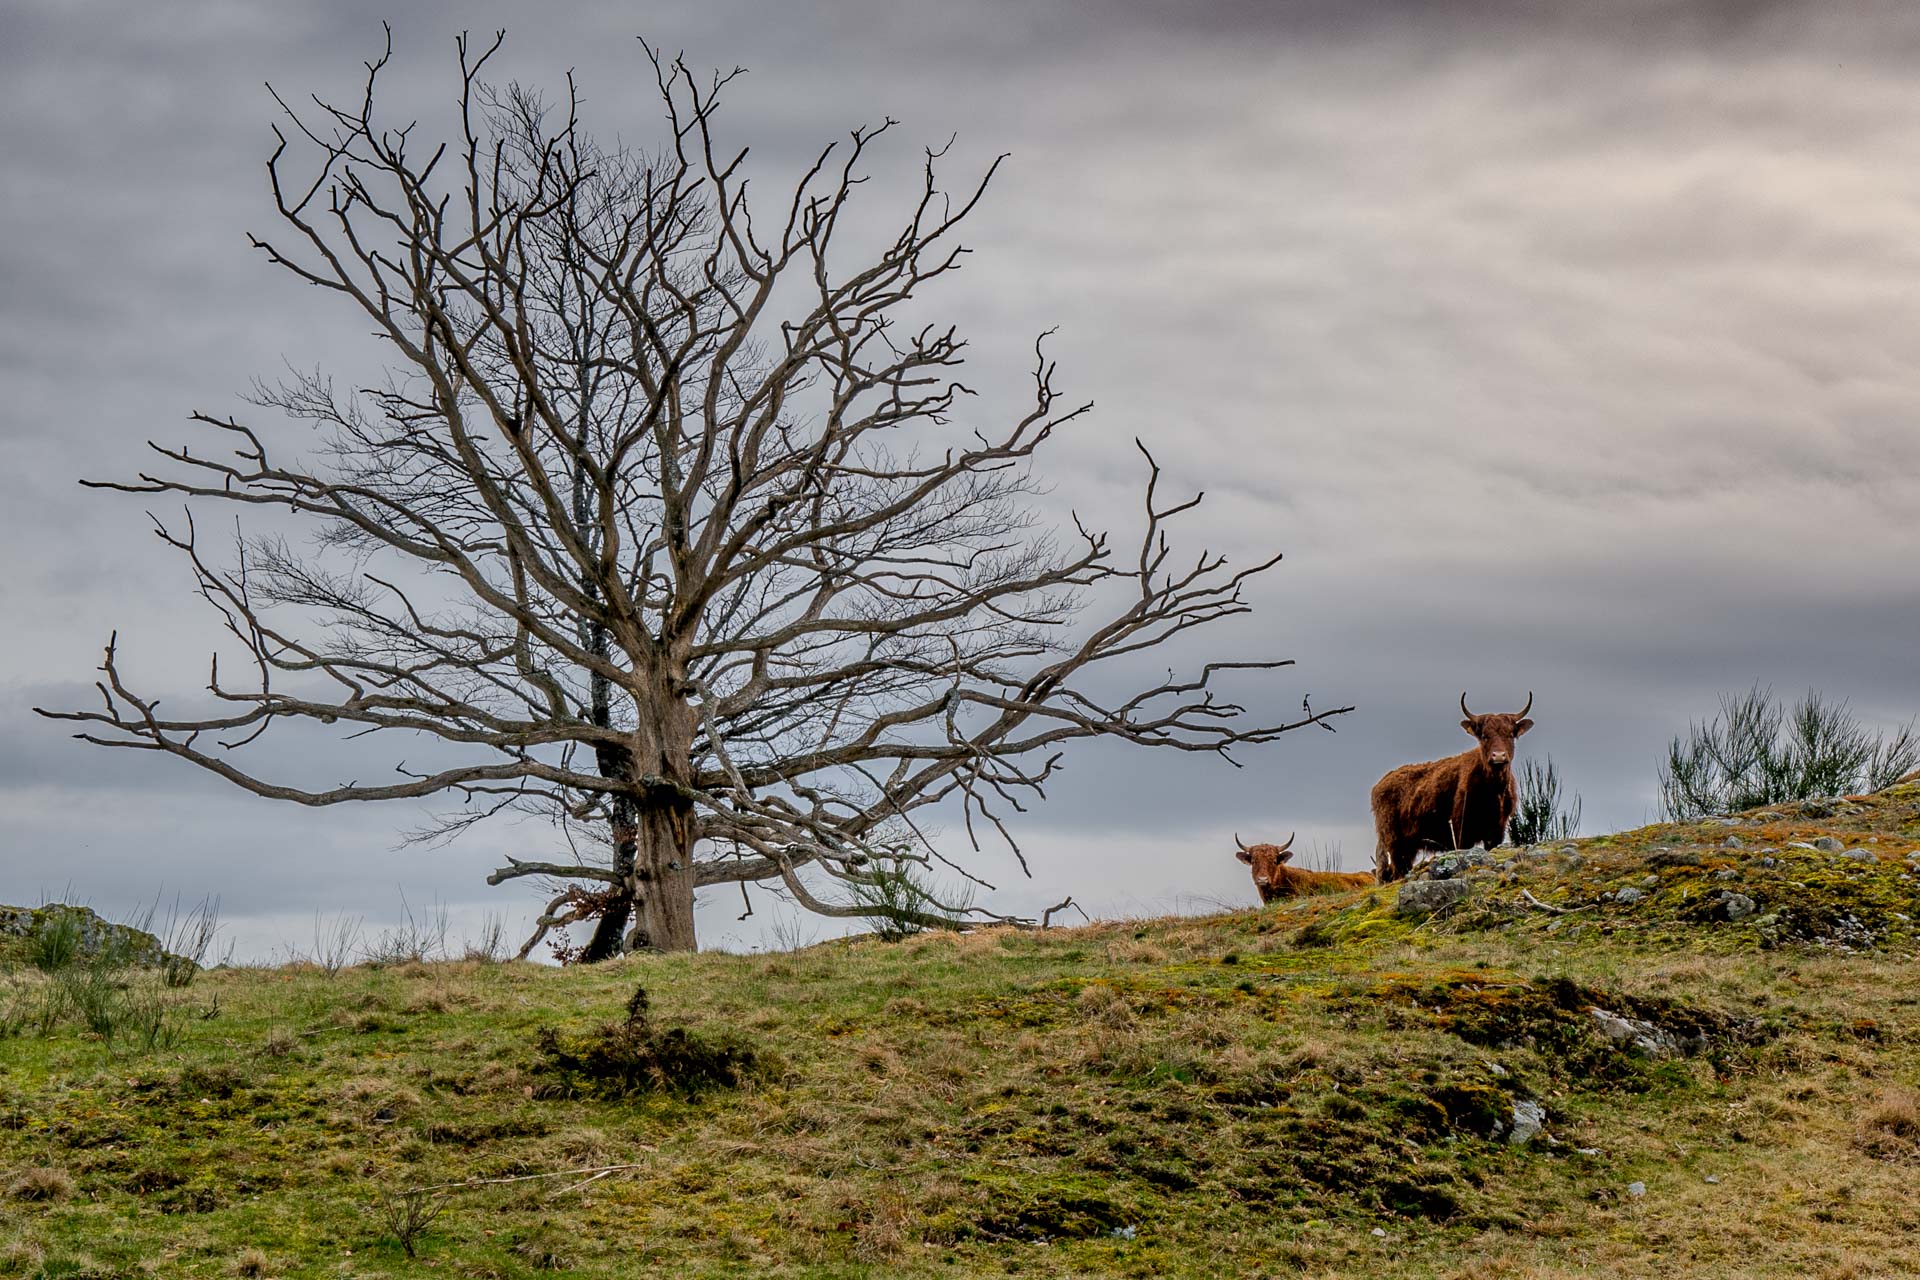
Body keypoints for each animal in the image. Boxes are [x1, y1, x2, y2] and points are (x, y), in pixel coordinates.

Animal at [1374, 694, 1536, 886]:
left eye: (1510, 734)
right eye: (1484, 736)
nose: (1498, 756)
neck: (1493, 792)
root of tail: (1380, 784)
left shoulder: (1497, 830)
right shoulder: (1461, 830)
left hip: (1408, 846)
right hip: (1394, 842)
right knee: (1396, 870)